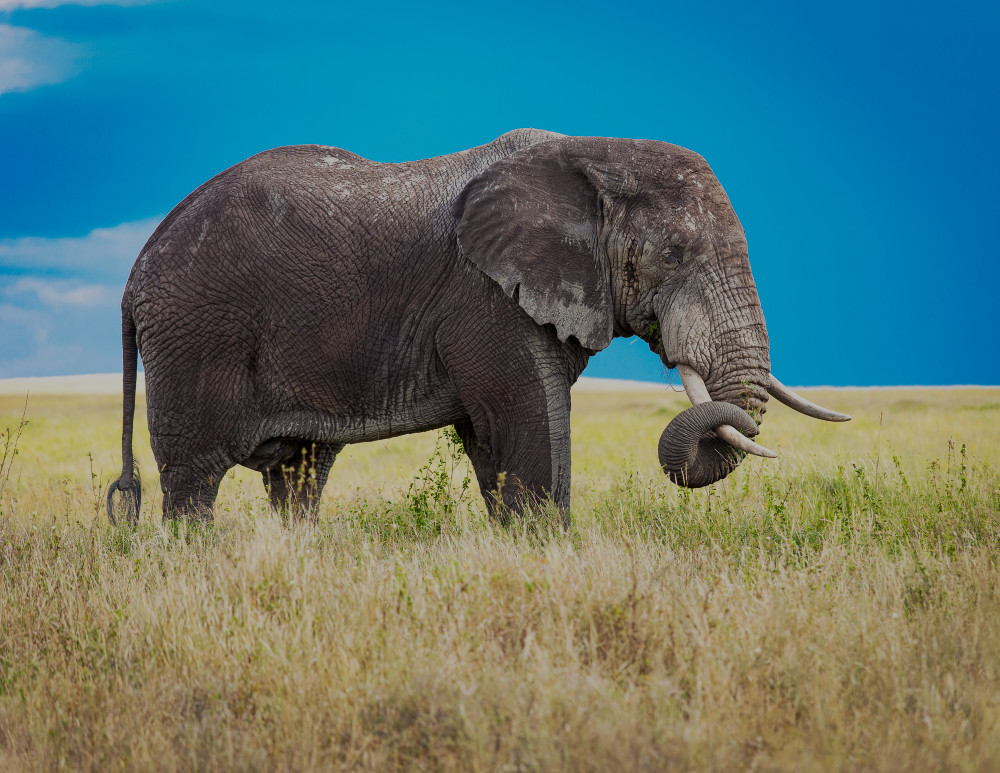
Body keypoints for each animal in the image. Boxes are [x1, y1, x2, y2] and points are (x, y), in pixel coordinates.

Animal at [107, 128, 849, 525]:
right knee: (195, 477)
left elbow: (494, 440)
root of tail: (137, 269)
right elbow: (527, 419)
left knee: (299, 473)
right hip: (195, 335)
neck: (592, 153)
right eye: (673, 255)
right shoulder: (484, 298)